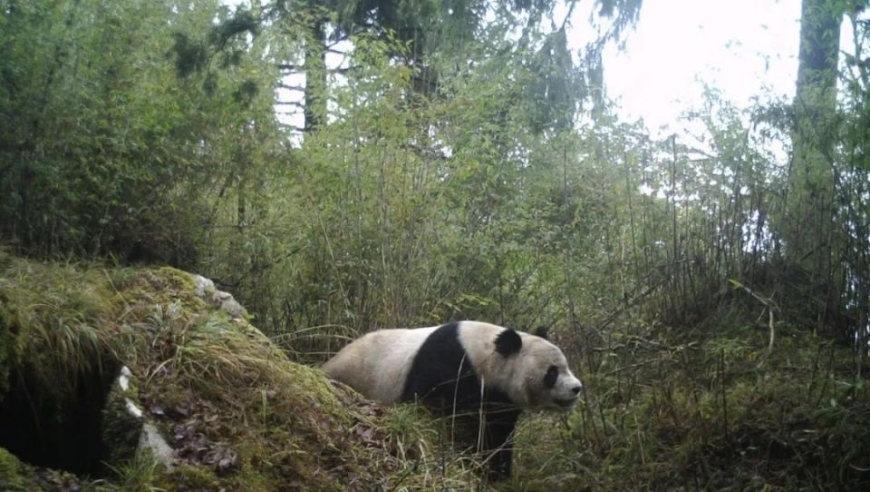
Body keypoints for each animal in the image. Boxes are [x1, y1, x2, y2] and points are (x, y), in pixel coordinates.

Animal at [322, 320, 584, 478]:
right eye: (552, 373)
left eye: (566, 366)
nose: (577, 388)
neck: (482, 357)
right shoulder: (446, 366)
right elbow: (424, 412)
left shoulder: (499, 399)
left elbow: (497, 435)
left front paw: (496, 474)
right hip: (358, 375)